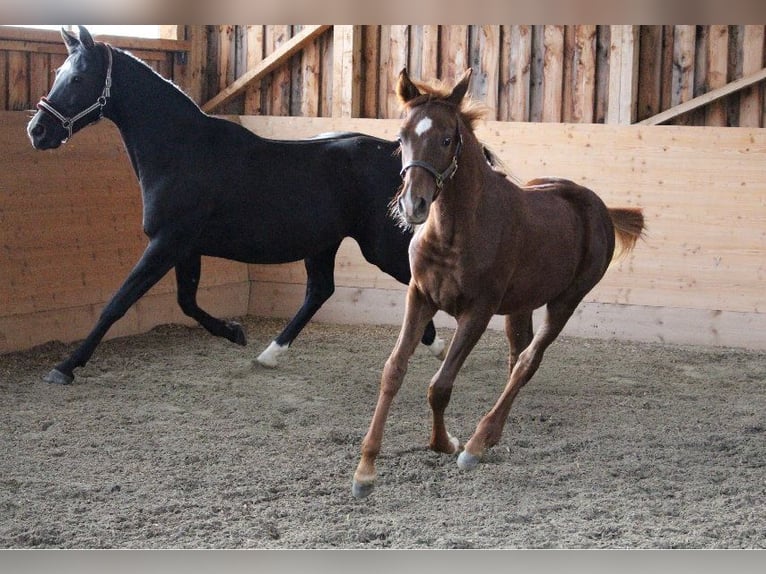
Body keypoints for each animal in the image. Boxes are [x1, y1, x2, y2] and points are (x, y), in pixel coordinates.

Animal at [27, 28, 448, 388]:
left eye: (78, 78)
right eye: (58, 73)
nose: (37, 131)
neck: (182, 151)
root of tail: (397, 156)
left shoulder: (166, 242)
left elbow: (118, 303)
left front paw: (65, 367)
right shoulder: (184, 247)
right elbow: (186, 302)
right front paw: (234, 332)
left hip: (378, 245)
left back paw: (437, 345)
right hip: (323, 243)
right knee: (319, 291)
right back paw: (270, 354)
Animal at [352, 68, 644, 500]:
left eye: (446, 138)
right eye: (401, 137)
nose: (413, 205)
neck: (454, 232)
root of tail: (601, 209)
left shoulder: (478, 311)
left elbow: (440, 385)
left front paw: (446, 444)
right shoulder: (420, 296)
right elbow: (393, 371)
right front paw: (365, 470)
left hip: (565, 302)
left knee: (528, 361)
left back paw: (478, 443)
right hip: (521, 304)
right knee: (517, 357)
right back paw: (494, 434)